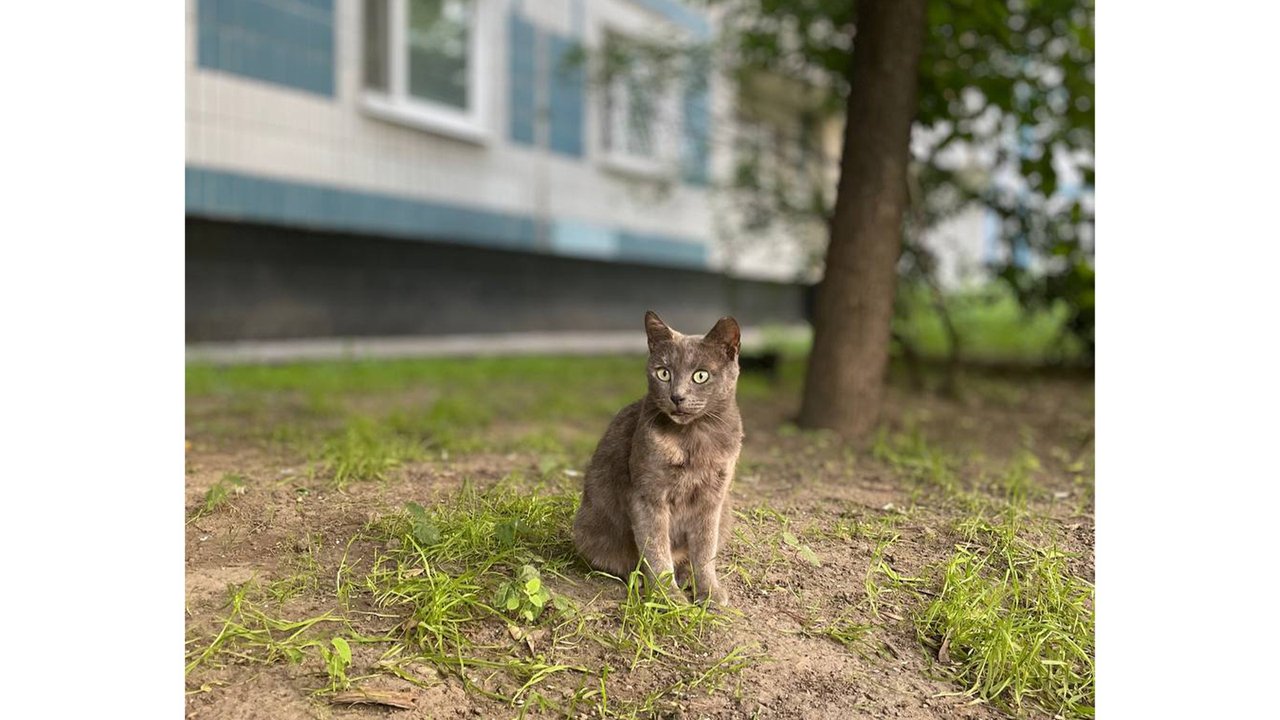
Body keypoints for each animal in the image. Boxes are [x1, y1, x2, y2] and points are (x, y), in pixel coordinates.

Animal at [576, 311, 747, 602]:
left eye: (701, 376)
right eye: (663, 373)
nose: (677, 396)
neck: (693, 439)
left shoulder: (713, 498)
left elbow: (705, 549)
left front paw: (709, 594)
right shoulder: (647, 495)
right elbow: (656, 548)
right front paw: (668, 598)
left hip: (726, 513)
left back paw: (686, 576)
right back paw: (641, 581)